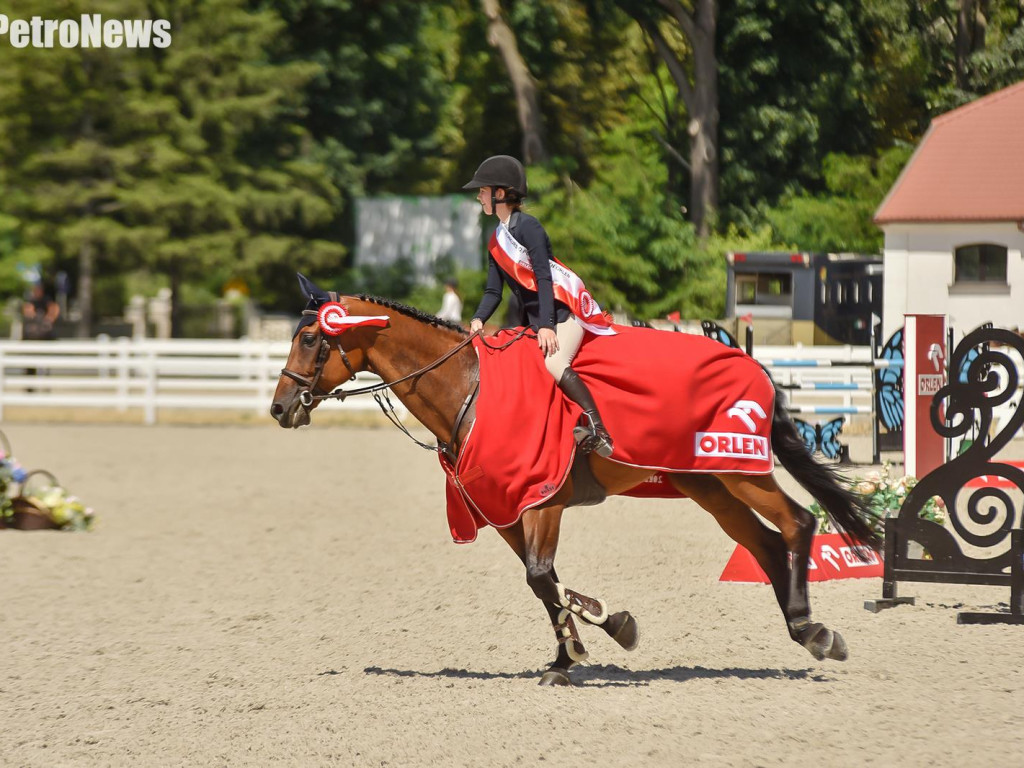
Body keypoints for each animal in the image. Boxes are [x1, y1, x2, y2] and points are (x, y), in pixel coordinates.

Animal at [272, 276, 880, 684]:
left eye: (311, 339)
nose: (280, 408)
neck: (467, 389)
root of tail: (746, 359)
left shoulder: (542, 502)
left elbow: (543, 577)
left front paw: (608, 630)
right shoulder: (506, 512)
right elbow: (543, 584)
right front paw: (570, 655)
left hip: (737, 472)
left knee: (797, 524)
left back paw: (814, 632)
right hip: (707, 485)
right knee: (766, 542)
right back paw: (803, 631)